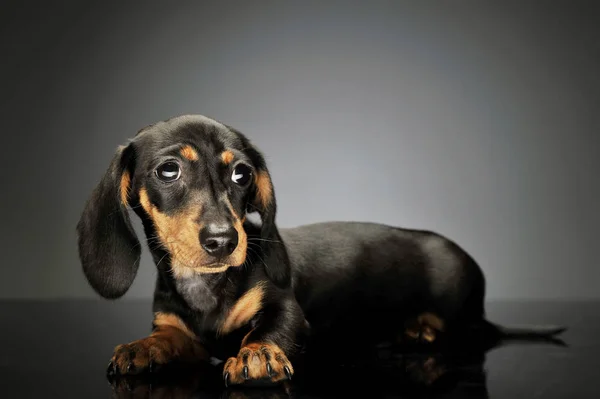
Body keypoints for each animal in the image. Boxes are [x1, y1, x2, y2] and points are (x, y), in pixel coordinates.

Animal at [77, 115, 564, 388]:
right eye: (169, 170)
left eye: (241, 174)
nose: (224, 241)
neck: (206, 288)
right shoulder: (179, 329)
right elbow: (168, 337)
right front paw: (142, 348)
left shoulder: (287, 310)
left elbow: (270, 329)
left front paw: (259, 354)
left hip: (459, 314)